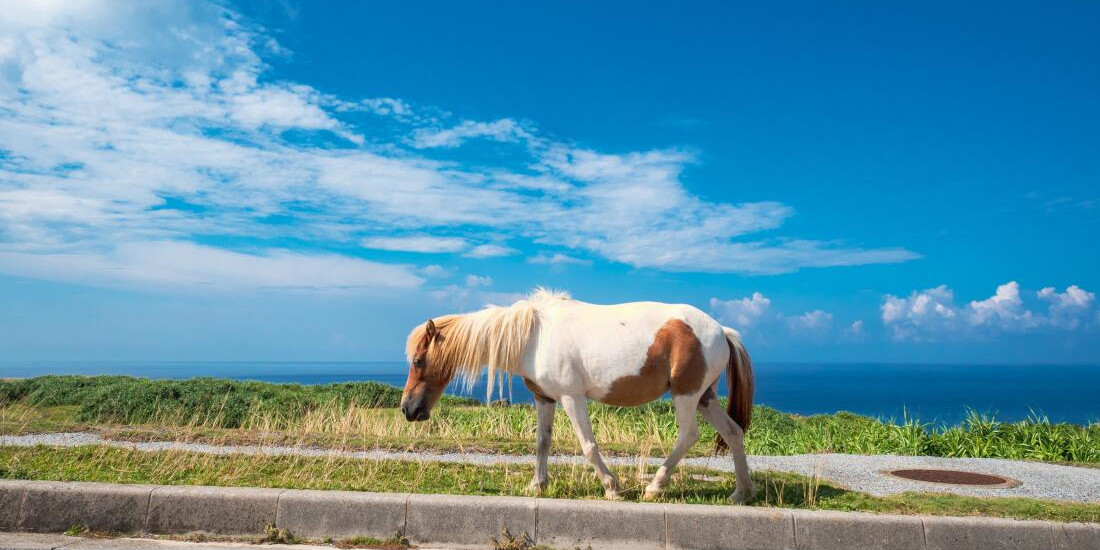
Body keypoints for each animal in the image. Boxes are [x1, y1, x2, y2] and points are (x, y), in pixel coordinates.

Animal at [398, 288, 756, 503]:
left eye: (418, 361)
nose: (408, 409)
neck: (534, 336)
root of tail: (722, 331)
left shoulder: (572, 397)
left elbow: (588, 445)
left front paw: (612, 487)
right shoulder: (545, 398)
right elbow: (542, 442)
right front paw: (537, 485)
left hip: (686, 396)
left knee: (689, 435)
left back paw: (654, 486)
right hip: (705, 398)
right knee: (733, 433)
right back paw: (741, 493)